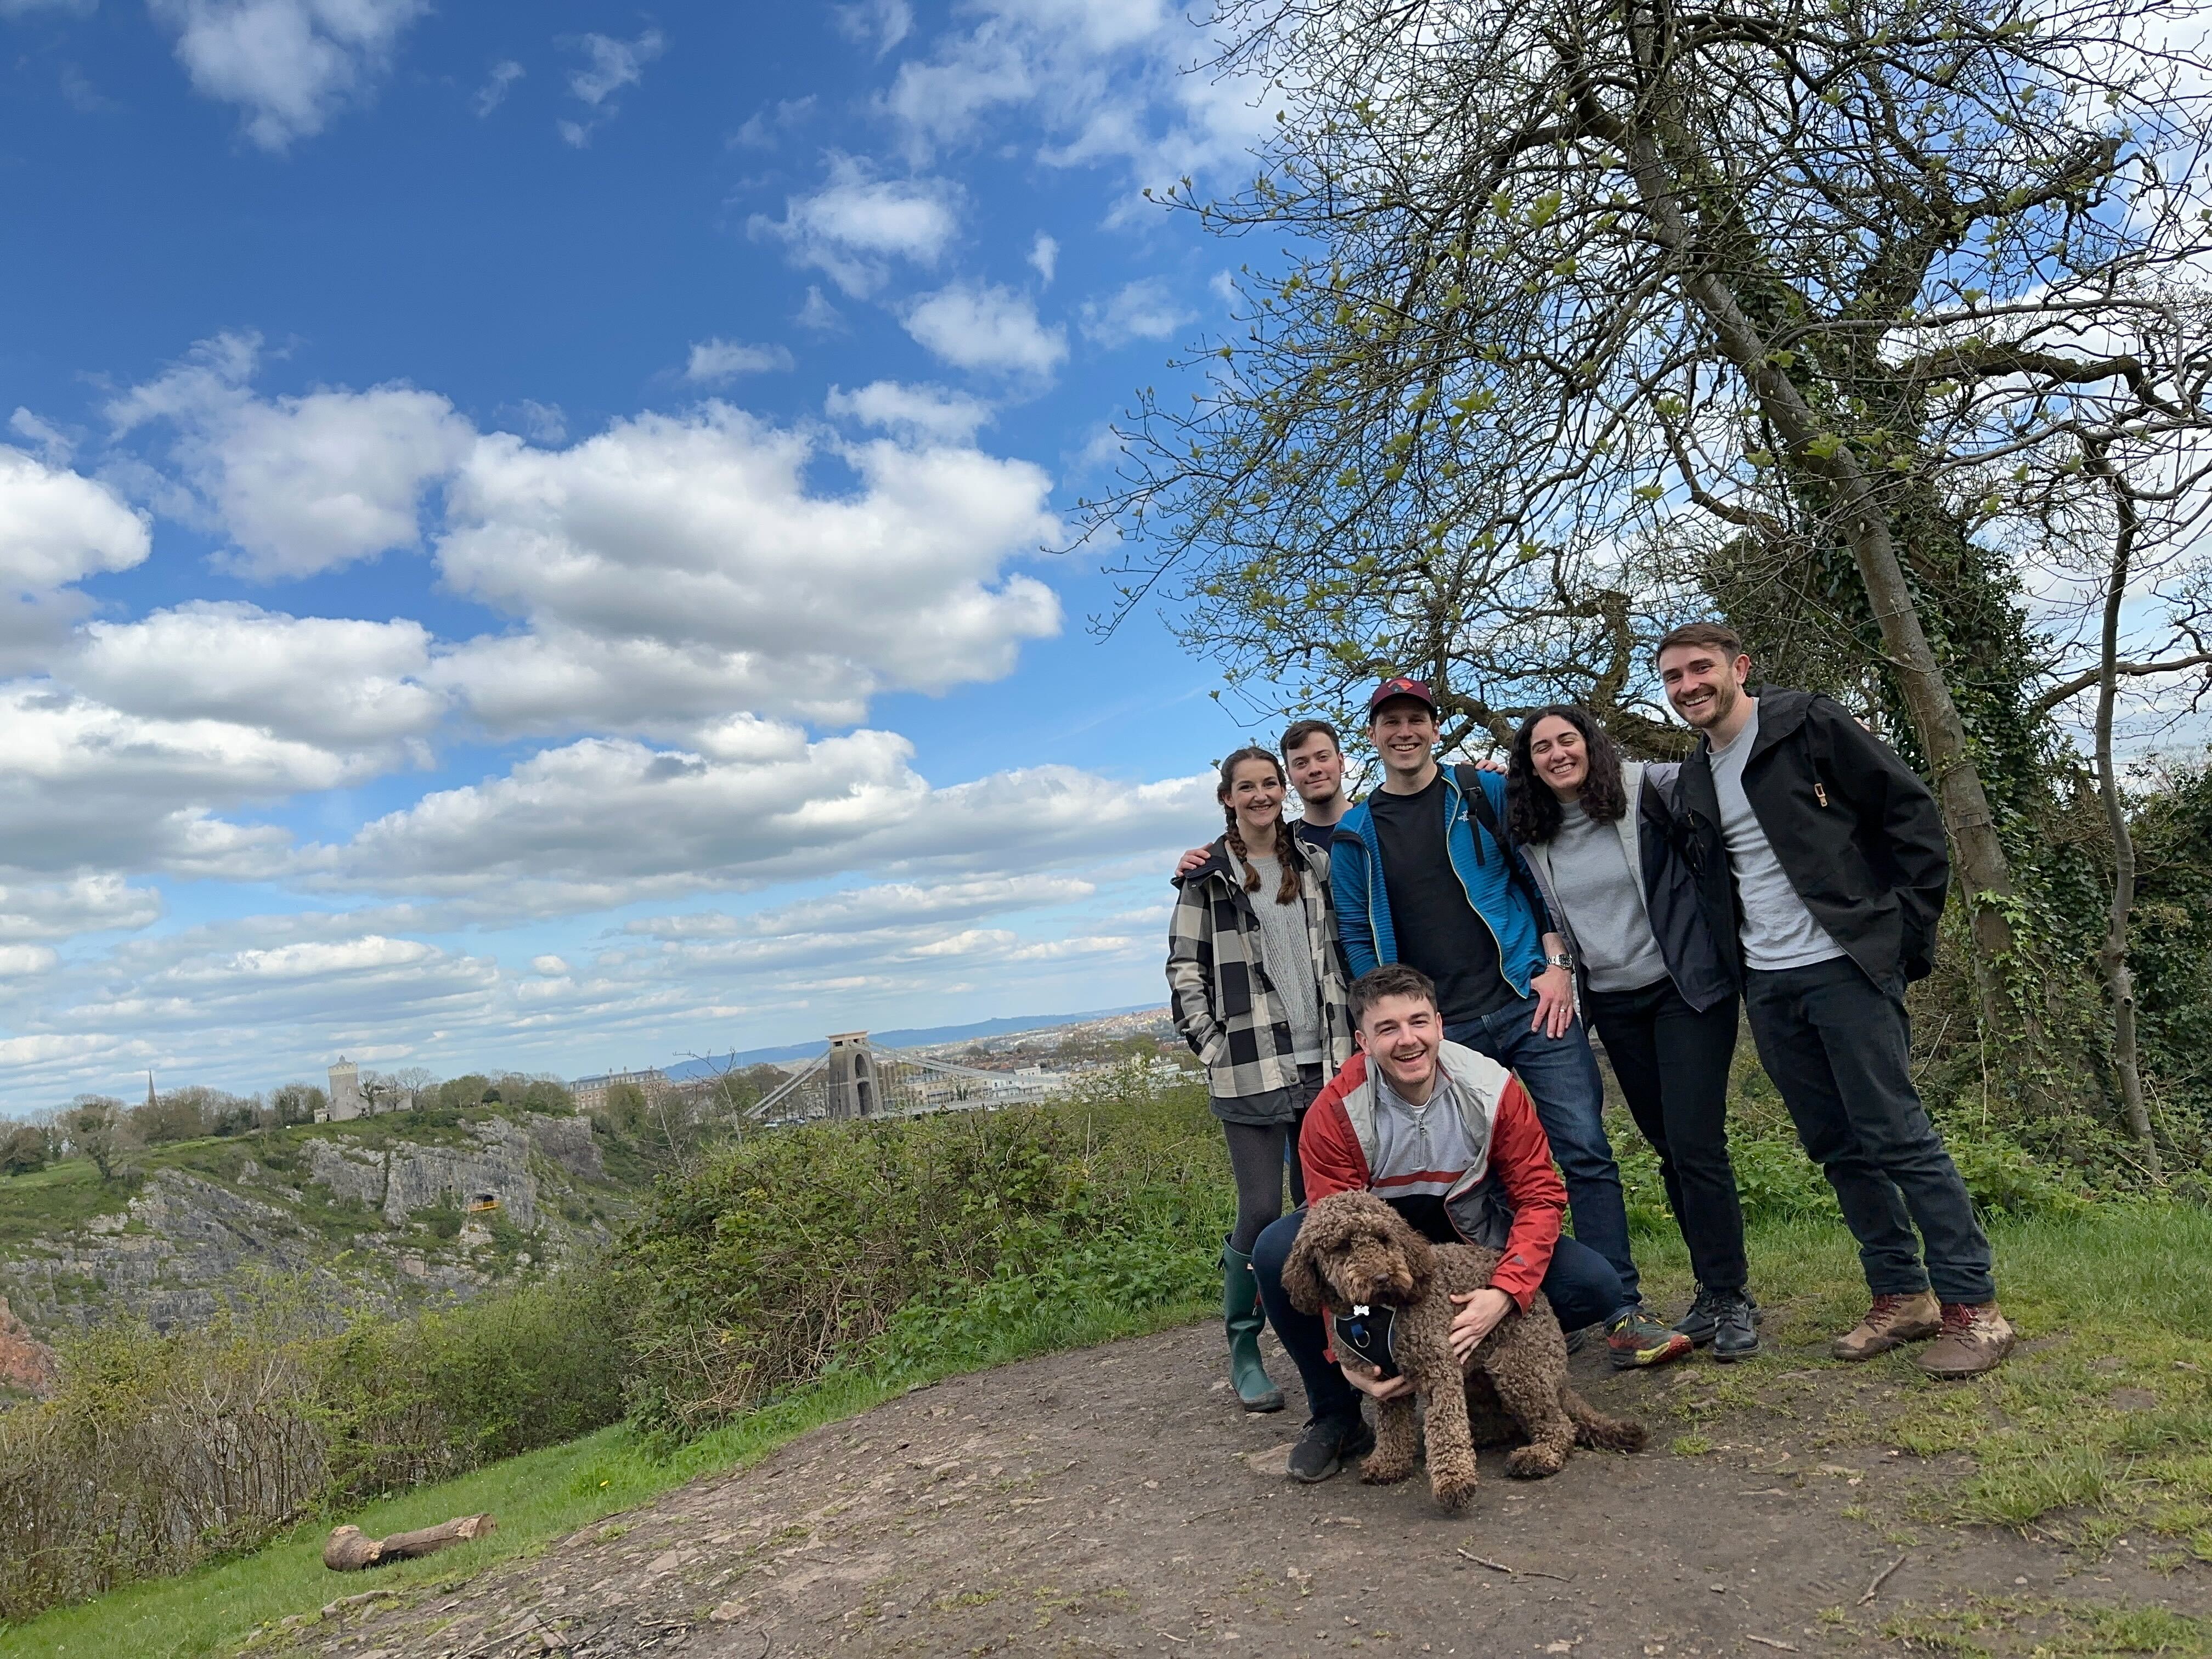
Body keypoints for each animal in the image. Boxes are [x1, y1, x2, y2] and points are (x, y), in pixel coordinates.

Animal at [1283, 1194, 1645, 1522]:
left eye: (1384, 1238)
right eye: (1342, 1246)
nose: (1383, 1277)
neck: (1373, 1313)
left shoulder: (1438, 1370)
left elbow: (1446, 1429)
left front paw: (1454, 1483)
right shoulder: (1384, 1382)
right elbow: (1392, 1427)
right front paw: (1388, 1463)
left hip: (1515, 1367)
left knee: (1560, 1426)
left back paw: (1539, 1456)